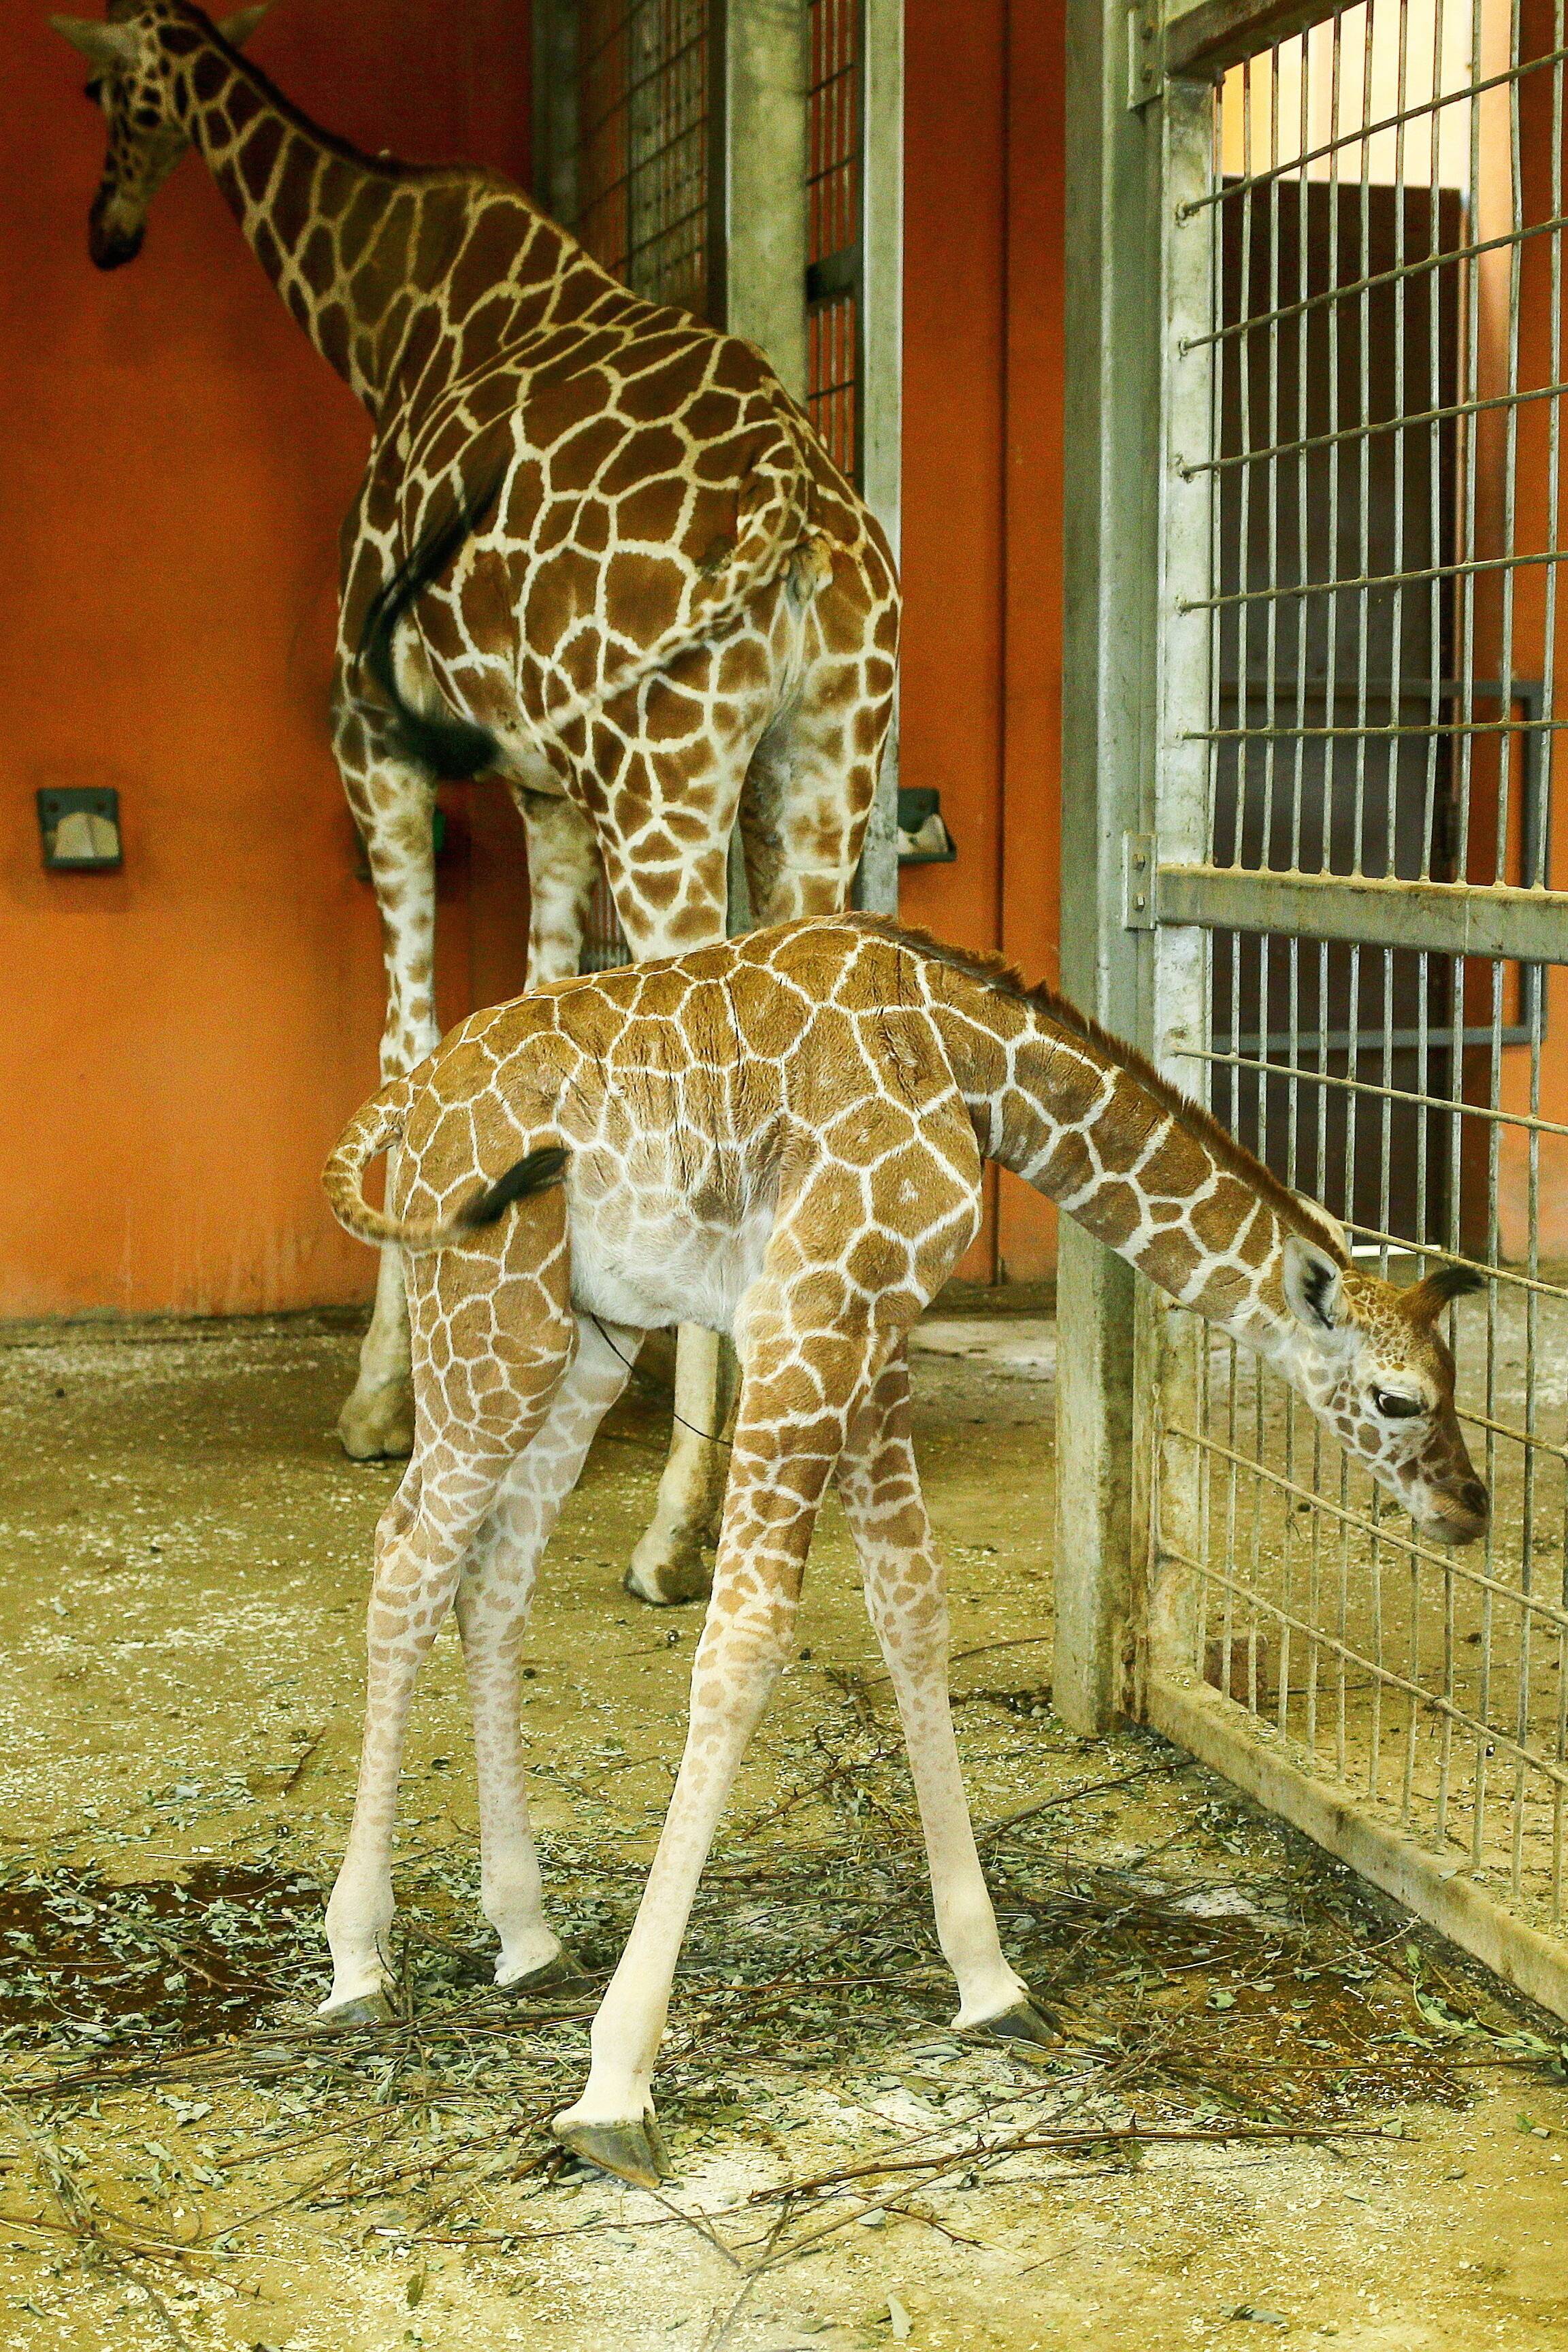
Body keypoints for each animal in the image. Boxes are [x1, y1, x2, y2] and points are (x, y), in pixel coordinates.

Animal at [49, 4, 902, 1599]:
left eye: (103, 93)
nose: (106, 233)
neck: (392, 314)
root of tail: (797, 510)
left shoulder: (372, 746)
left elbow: (413, 1044)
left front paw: (381, 1401)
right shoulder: (545, 793)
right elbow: (526, 1026)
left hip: (668, 775)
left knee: (713, 1087)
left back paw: (677, 1536)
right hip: (825, 767)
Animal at [322, 917, 1494, 2183]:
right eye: (1397, 1400)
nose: (1467, 1506)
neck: (977, 1066)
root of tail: (402, 1101)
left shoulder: (875, 1335)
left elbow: (913, 1610)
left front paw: (990, 1983)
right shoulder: (804, 1313)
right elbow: (742, 1645)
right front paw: (612, 2088)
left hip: (583, 1336)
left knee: (492, 1578)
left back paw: (526, 1936)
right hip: (493, 1319)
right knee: (406, 1559)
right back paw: (358, 1963)